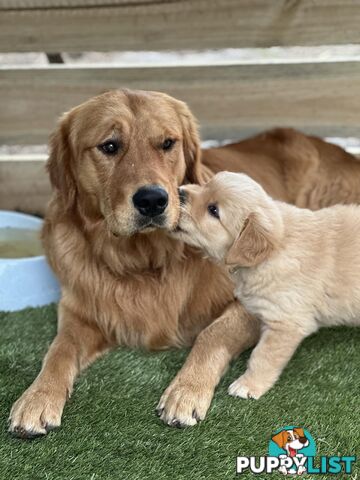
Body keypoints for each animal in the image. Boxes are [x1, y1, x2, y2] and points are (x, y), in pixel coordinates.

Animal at [173, 172, 358, 402]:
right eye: (206, 184)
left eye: (213, 210)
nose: (179, 192)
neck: (273, 251)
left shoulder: (286, 323)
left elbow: (263, 357)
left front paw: (248, 385)